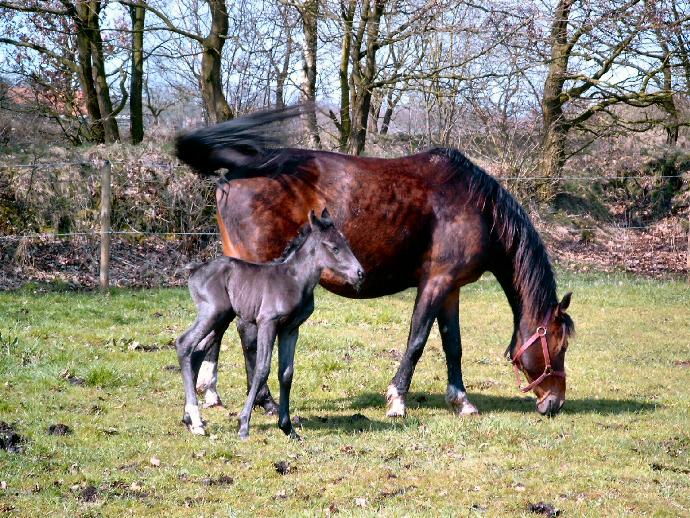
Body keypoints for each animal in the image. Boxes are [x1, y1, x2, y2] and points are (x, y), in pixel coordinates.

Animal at [175, 209, 362, 440]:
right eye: (334, 247)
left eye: (346, 243)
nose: (360, 273)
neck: (295, 281)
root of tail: (195, 269)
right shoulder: (267, 323)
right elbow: (262, 369)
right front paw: (243, 425)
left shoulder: (290, 330)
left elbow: (287, 373)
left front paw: (288, 428)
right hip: (212, 313)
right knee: (184, 343)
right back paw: (196, 420)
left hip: (222, 317)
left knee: (198, 351)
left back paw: (190, 420)